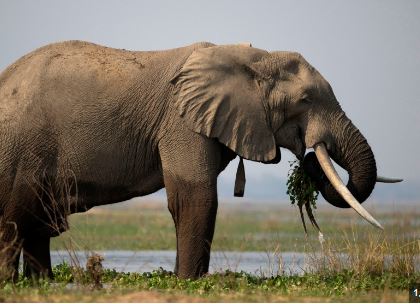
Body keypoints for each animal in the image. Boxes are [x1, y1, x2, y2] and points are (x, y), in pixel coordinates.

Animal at [0, 40, 400, 280]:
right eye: (305, 100)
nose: (311, 158)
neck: (252, 58)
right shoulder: (181, 121)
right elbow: (195, 198)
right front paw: (189, 281)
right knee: (17, 219)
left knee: (35, 221)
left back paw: (42, 283)